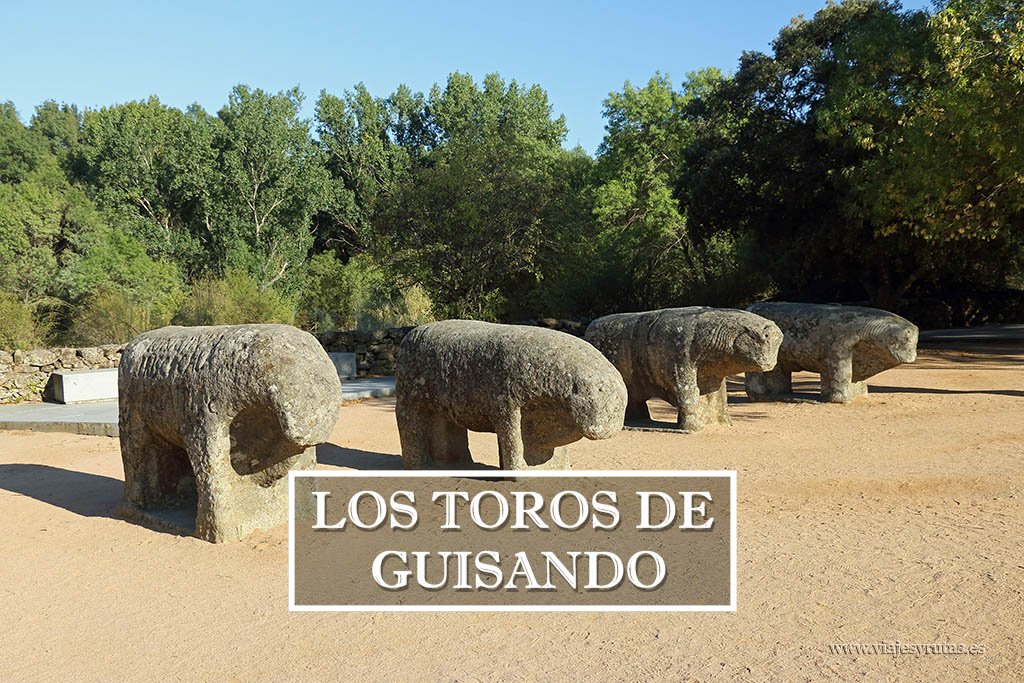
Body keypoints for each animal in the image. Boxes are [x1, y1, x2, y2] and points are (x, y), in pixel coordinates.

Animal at [115, 323, 339, 540]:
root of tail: (131, 346)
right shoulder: (206, 418)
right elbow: (215, 474)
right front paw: (217, 529)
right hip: (132, 418)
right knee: (136, 454)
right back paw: (138, 504)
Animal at [395, 321, 626, 471]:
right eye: (597, 393)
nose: (609, 424)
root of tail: (409, 335)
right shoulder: (508, 406)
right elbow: (514, 443)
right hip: (410, 398)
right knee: (411, 429)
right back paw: (419, 465)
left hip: (441, 406)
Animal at [585, 307, 782, 430]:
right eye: (761, 339)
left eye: (777, 344)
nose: (770, 362)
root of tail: (590, 328)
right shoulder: (679, 364)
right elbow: (688, 396)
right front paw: (692, 426)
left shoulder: (714, 377)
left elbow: (718, 399)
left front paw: (724, 422)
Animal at [745, 303, 921, 403]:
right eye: (905, 339)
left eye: (915, 342)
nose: (912, 356)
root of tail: (750, 307)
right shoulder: (840, 350)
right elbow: (841, 377)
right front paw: (841, 399)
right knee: (756, 379)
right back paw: (760, 395)